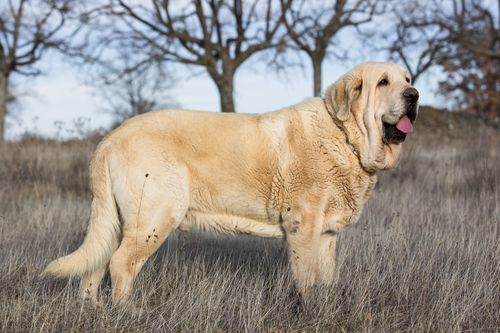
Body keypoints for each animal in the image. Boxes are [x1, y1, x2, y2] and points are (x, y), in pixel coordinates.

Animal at [43, 61, 418, 304]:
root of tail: (109, 139)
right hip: (155, 216)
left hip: (120, 221)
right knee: (121, 265)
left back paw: (92, 310)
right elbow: (307, 281)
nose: (414, 94)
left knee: (96, 265)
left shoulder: (326, 234)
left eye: (407, 78)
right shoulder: (304, 229)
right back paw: (127, 313)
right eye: (383, 82)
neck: (344, 136)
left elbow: (326, 279)